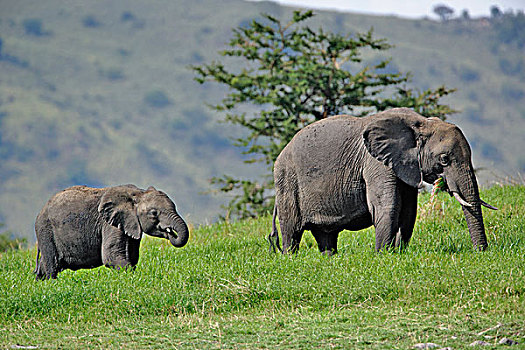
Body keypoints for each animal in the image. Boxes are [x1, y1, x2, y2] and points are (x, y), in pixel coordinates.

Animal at [33, 185, 188, 280]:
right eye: (154, 213)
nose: (171, 232)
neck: (138, 193)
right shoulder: (109, 224)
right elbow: (111, 256)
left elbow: (132, 256)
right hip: (46, 231)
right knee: (52, 265)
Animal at [268, 107, 498, 254]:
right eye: (444, 159)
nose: (481, 252)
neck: (420, 123)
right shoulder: (375, 163)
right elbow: (388, 204)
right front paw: (383, 255)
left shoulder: (404, 165)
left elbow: (408, 211)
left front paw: (397, 252)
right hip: (287, 181)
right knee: (292, 231)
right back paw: (290, 257)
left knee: (326, 236)